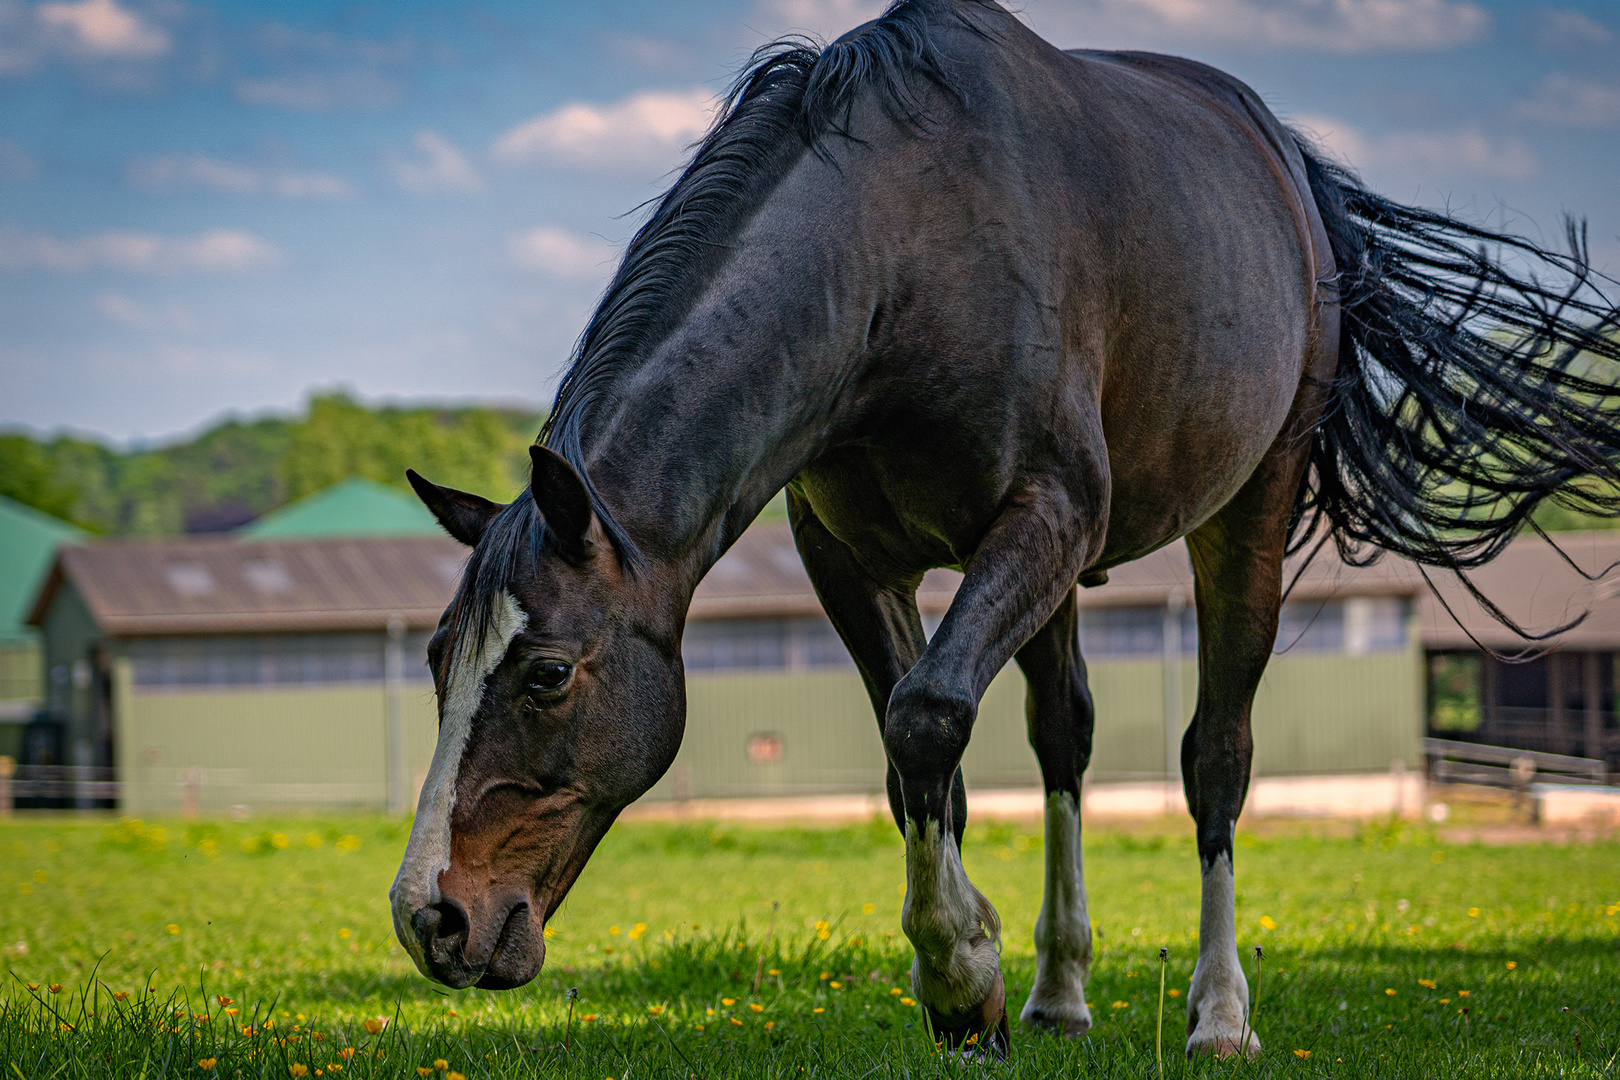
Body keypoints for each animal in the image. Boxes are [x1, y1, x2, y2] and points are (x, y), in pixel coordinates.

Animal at [388, 0, 1620, 1062]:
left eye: (548, 673)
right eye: (438, 661)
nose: (427, 918)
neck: (897, 257)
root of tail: (1293, 176)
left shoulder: (1046, 516)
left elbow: (927, 719)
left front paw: (955, 974)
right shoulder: (854, 562)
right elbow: (916, 764)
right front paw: (981, 986)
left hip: (1243, 521)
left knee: (1216, 760)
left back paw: (1219, 1014)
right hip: (1059, 581)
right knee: (1064, 737)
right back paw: (1060, 992)